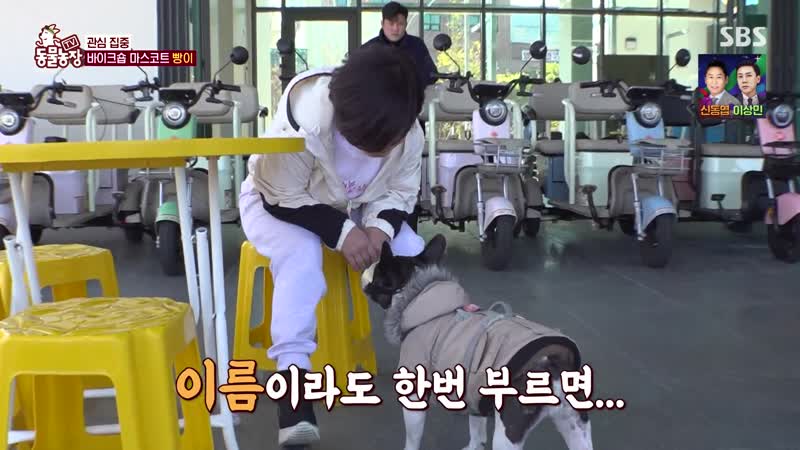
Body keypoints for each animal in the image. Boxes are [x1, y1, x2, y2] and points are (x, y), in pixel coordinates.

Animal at [361, 234, 594, 450]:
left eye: (377, 271)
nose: (367, 267)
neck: (420, 295)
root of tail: (551, 362)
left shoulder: (414, 396)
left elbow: (412, 438)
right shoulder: (473, 392)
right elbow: (476, 429)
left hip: (508, 433)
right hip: (576, 426)